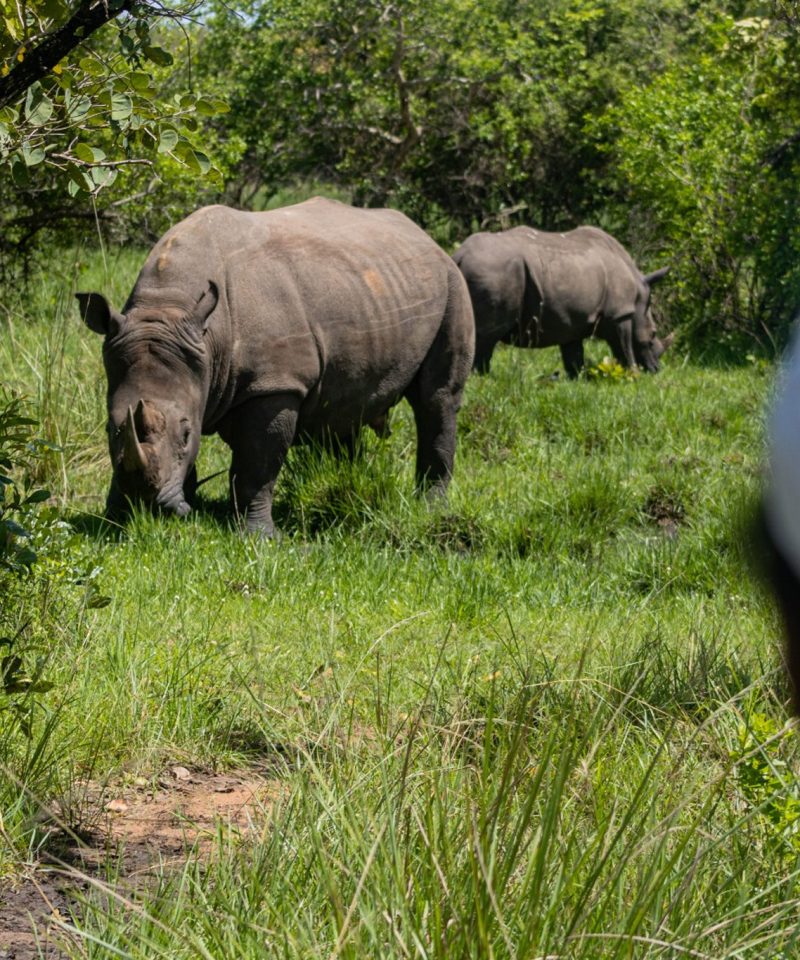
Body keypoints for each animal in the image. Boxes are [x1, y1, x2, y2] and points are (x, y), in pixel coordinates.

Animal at [77, 198, 475, 535]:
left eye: (188, 432)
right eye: (110, 427)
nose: (144, 503)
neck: (169, 308)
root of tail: (425, 237)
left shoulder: (274, 384)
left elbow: (257, 466)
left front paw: (259, 536)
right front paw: (117, 516)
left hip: (453, 284)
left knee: (436, 399)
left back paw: (430, 507)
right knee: (344, 408)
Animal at [452, 225, 672, 377]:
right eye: (653, 335)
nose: (656, 369)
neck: (638, 294)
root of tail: (459, 255)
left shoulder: (572, 321)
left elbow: (573, 354)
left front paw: (579, 379)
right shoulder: (619, 313)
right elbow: (624, 346)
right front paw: (633, 375)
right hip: (494, 271)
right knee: (487, 336)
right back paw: (482, 377)